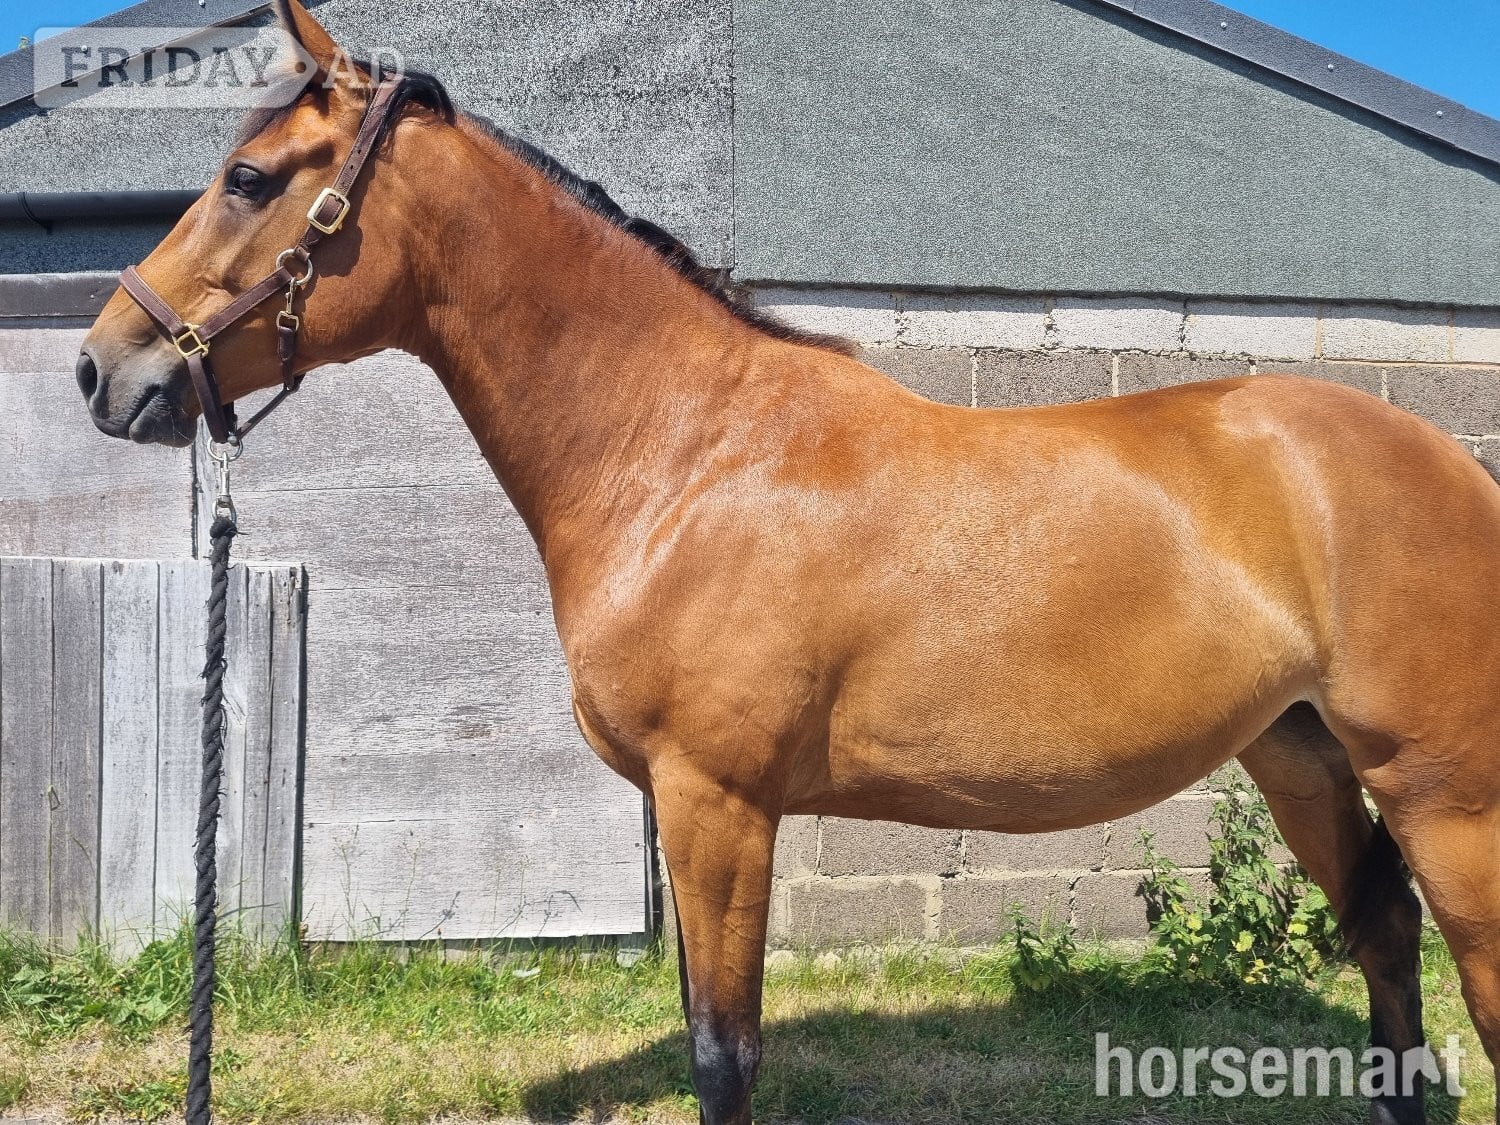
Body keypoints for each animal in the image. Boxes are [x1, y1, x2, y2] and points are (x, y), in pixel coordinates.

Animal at [75, 3, 1500, 1122]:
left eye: (249, 176)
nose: (104, 369)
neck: (687, 454)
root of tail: (1451, 463)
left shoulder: (717, 803)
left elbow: (726, 1056)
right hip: (1297, 753)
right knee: (1384, 937)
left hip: (1446, 796)